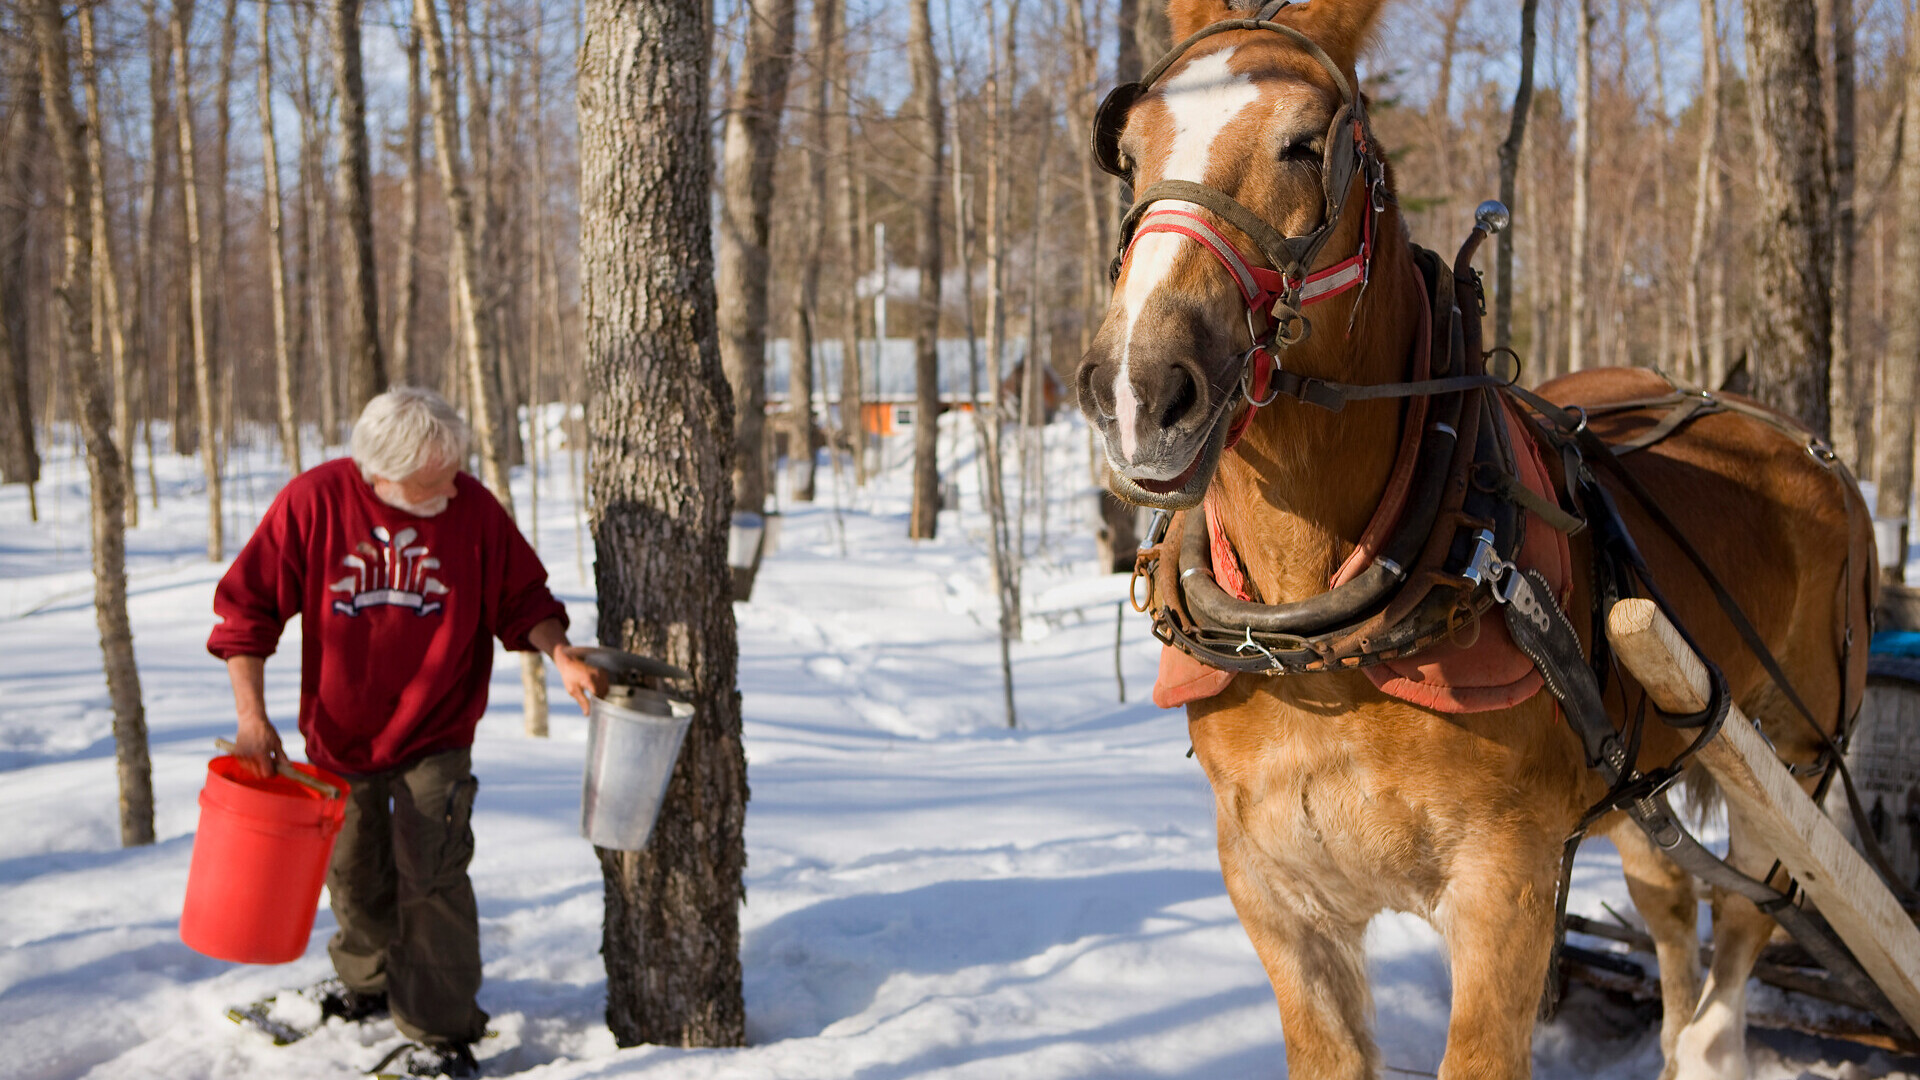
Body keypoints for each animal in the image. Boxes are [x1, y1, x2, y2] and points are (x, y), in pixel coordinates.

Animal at [1082, 2, 1873, 1076]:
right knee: (1672, 905)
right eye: (1125, 151)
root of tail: (1799, 440)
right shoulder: (1275, 895)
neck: (1321, 643)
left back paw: (1713, 1040)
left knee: (1753, 922)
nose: (1139, 389)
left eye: (1308, 143)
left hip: (1793, 755)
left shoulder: (1507, 890)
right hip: (1640, 762)